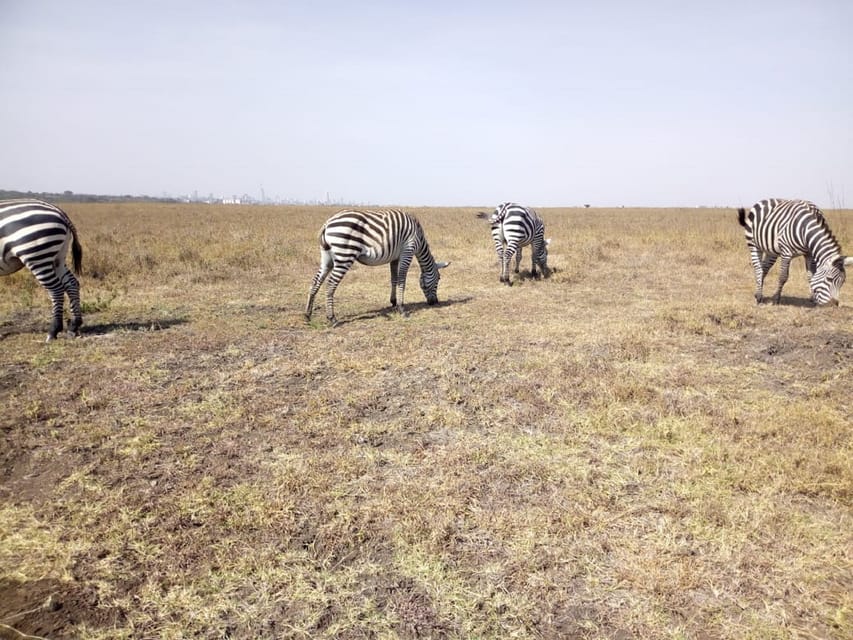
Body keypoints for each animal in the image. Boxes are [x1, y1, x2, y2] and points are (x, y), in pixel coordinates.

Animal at [1, 199, 84, 340]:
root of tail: (59, 212)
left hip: (37, 256)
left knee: (56, 290)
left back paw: (53, 331)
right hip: (57, 258)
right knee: (72, 283)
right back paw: (74, 325)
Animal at [308, 209, 452, 324]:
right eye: (439, 279)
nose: (435, 302)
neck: (419, 237)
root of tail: (327, 223)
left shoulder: (395, 257)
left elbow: (394, 279)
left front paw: (393, 302)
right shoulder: (407, 251)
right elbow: (402, 280)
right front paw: (401, 308)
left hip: (327, 257)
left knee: (316, 281)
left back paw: (308, 314)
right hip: (345, 255)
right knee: (331, 284)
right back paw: (331, 318)